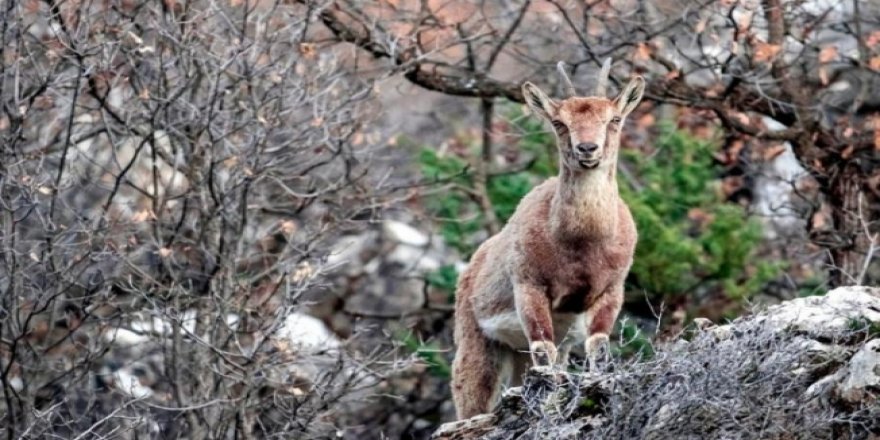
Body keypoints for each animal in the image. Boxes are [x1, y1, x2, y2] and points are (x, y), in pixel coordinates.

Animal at [450, 60, 644, 418]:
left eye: (614, 119)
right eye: (559, 122)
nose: (587, 149)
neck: (581, 244)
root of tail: (471, 266)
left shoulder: (611, 290)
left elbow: (597, 346)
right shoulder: (529, 286)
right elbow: (545, 348)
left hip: (518, 353)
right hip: (478, 343)